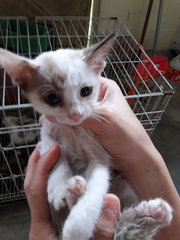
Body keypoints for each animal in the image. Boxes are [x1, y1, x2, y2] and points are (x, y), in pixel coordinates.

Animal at [0, 34, 173, 240]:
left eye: (86, 91)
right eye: (52, 98)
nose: (76, 115)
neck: (73, 130)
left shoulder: (100, 156)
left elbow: (96, 186)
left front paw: (78, 224)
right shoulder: (47, 138)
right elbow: (57, 155)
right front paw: (59, 185)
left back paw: (153, 213)